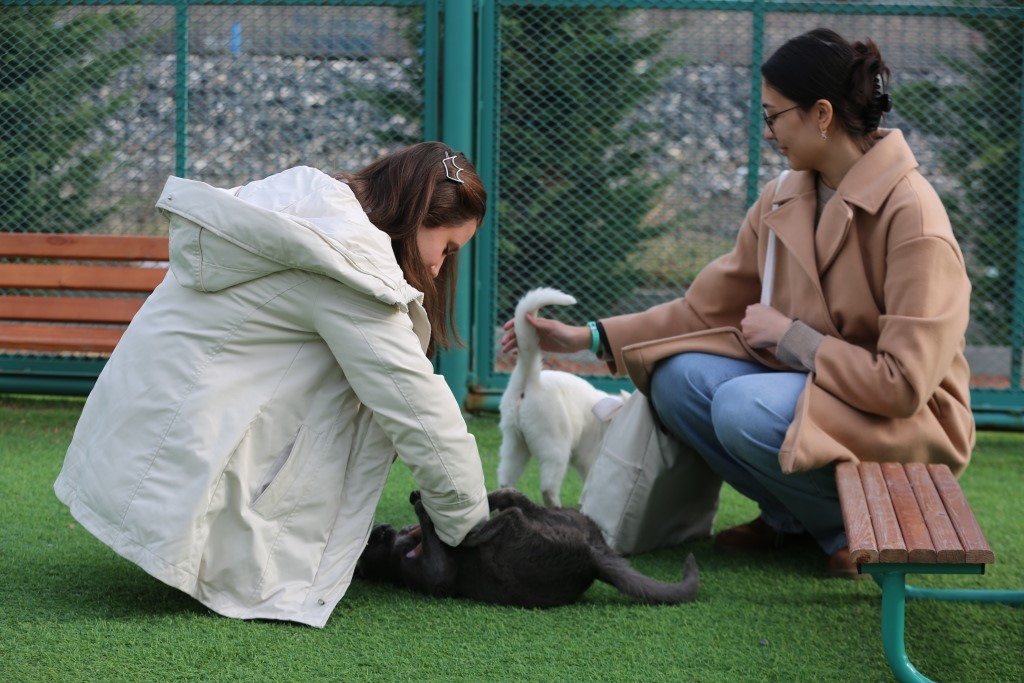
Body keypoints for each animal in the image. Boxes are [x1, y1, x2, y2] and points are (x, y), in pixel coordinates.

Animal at [356, 485, 700, 610]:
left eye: (373, 535)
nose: (384, 528)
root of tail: (593, 555)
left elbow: (425, 530)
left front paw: (419, 504)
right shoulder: (436, 573)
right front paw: (423, 510)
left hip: (557, 519)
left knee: (512, 498)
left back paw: (480, 502)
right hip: (511, 553)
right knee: (512, 513)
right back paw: (474, 529)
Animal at [497, 286, 618, 505]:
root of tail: (531, 377)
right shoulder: (590, 458)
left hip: (514, 444)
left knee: (505, 481)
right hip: (554, 449)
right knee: (547, 488)